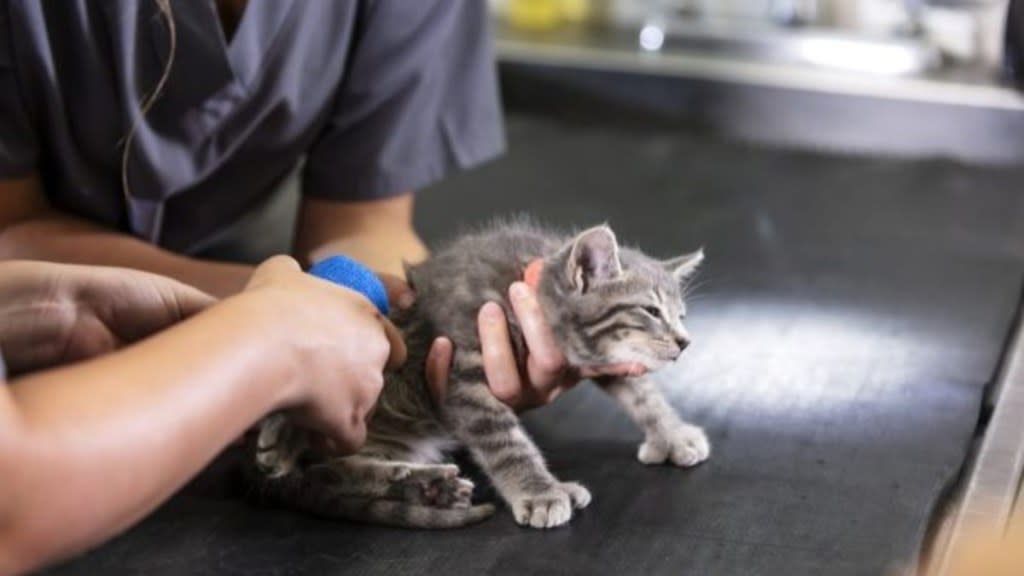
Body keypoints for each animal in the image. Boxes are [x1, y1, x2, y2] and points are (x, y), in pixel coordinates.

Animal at [251, 220, 708, 528]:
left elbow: (642, 392)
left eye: (681, 315)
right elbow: (505, 441)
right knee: (321, 468)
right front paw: (540, 492)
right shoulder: (466, 369)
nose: (685, 342)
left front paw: (673, 435)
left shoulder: (593, 354)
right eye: (651, 311)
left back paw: (424, 486)